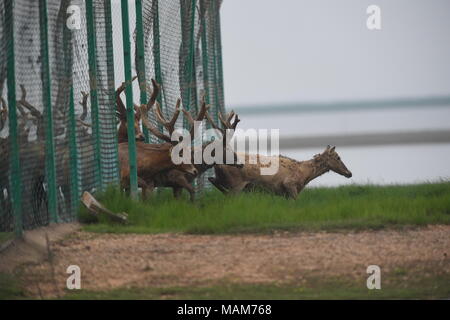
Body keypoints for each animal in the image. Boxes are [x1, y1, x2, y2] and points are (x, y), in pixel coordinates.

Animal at [209, 146, 354, 200]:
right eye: (338, 157)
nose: (349, 173)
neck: (304, 175)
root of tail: (218, 164)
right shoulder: (289, 183)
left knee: (214, 181)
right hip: (236, 185)